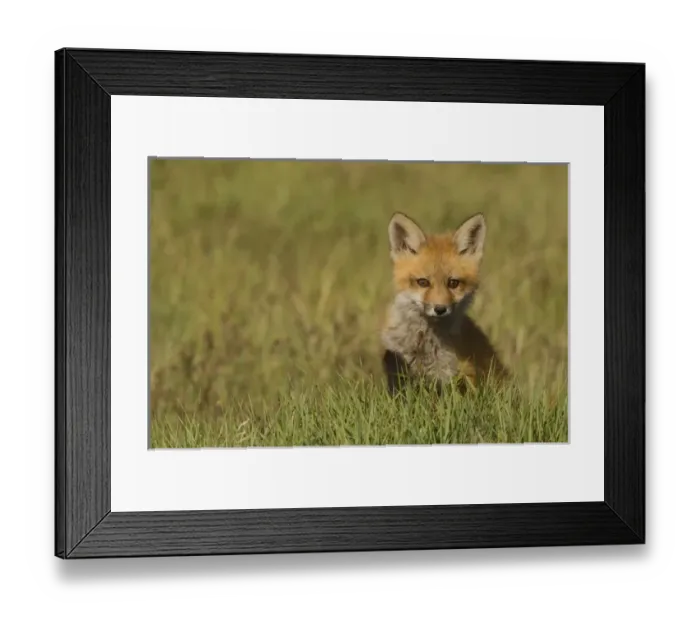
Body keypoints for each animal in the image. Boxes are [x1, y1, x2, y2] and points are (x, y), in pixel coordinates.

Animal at [380, 211, 508, 395]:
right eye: (423, 282)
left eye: (453, 283)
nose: (440, 309)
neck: (425, 344)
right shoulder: (398, 369)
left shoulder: (458, 375)